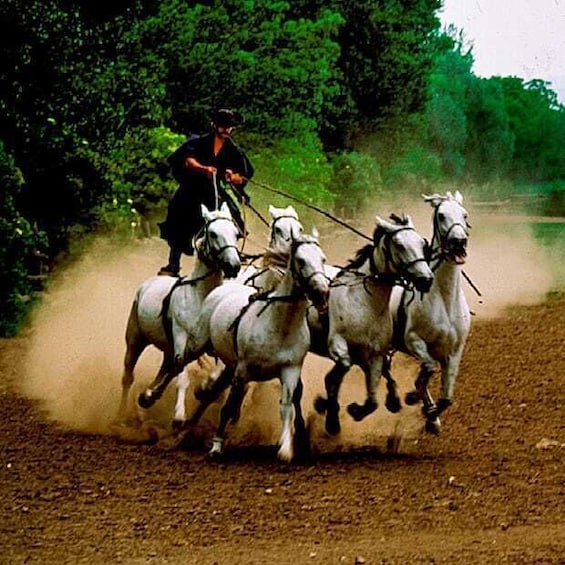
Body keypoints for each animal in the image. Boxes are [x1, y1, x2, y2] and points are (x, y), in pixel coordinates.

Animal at [118, 203, 241, 424]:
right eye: (213, 233)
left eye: (236, 233)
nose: (233, 266)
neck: (201, 298)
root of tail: (148, 284)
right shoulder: (181, 339)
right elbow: (182, 377)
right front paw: (179, 416)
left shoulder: (207, 347)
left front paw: (205, 388)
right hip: (135, 338)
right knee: (128, 375)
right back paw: (122, 413)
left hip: (166, 346)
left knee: (165, 368)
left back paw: (147, 397)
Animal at [183, 230, 328, 462]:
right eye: (301, 260)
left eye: (322, 259)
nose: (322, 292)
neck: (280, 325)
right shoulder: (243, 370)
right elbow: (228, 406)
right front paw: (216, 447)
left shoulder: (290, 370)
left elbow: (286, 407)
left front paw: (286, 449)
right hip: (198, 345)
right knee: (176, 366)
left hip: (230, 365)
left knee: (213, 391)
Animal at [308, 214, 432, 434]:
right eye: (399, 245)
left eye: (421, 243)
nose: (425, 279)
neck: (363, 303)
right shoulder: (338, 344)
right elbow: (336, 375)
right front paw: (327, 411)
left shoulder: (374, 356)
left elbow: (372, 402)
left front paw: (355, 410)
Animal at [384, 189, 472, 432]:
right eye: (441, 215)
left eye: (464, 215)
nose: (459, 242)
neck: (444, 300)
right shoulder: (414, 341)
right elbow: (428, 370)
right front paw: (414, 398)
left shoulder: (454, 351)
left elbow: (446, 398)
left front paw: (432, 416)